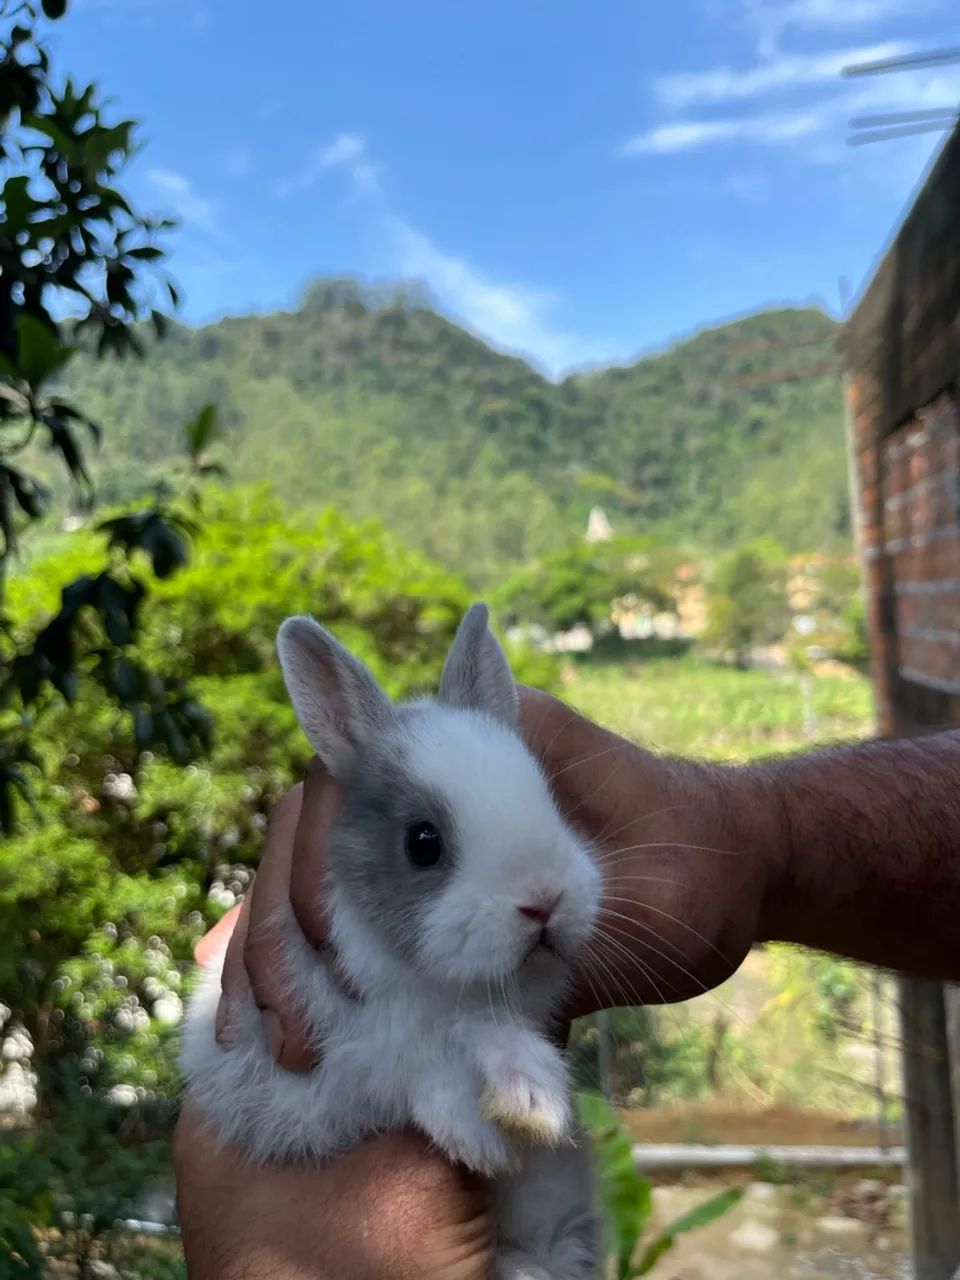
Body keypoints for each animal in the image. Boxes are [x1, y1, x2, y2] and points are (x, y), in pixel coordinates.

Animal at [181, 602, 602, 1280]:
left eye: (551, 800)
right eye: (422, 842)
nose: (544, 900)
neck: (433, 981)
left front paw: (531, 1099)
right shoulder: (319, 1066)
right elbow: (419, 1064)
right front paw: (497, 1123)